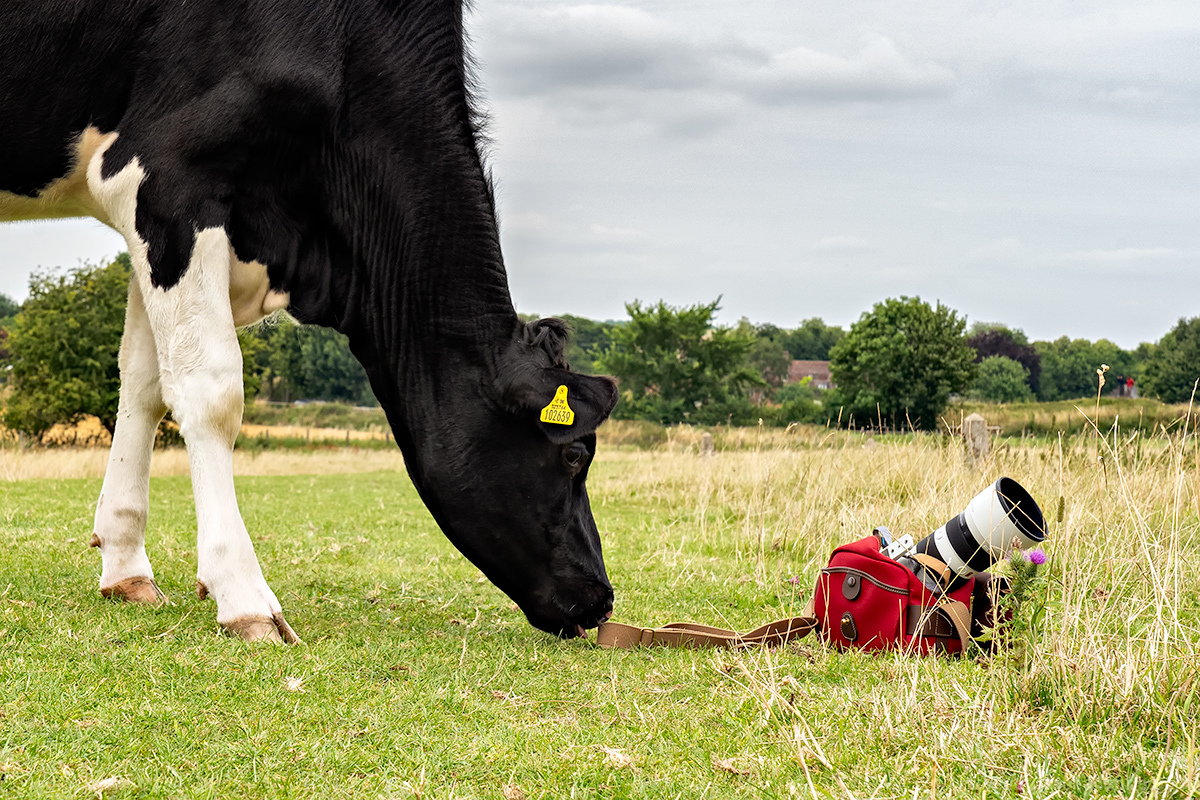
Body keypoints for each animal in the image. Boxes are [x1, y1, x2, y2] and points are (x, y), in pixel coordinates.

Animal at [0, 0, 619, 642]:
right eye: (575, 455)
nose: (601, 599)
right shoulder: (168, 176)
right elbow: (209, 392)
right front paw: (244, 598)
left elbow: (145, 383)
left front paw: (126, 568)